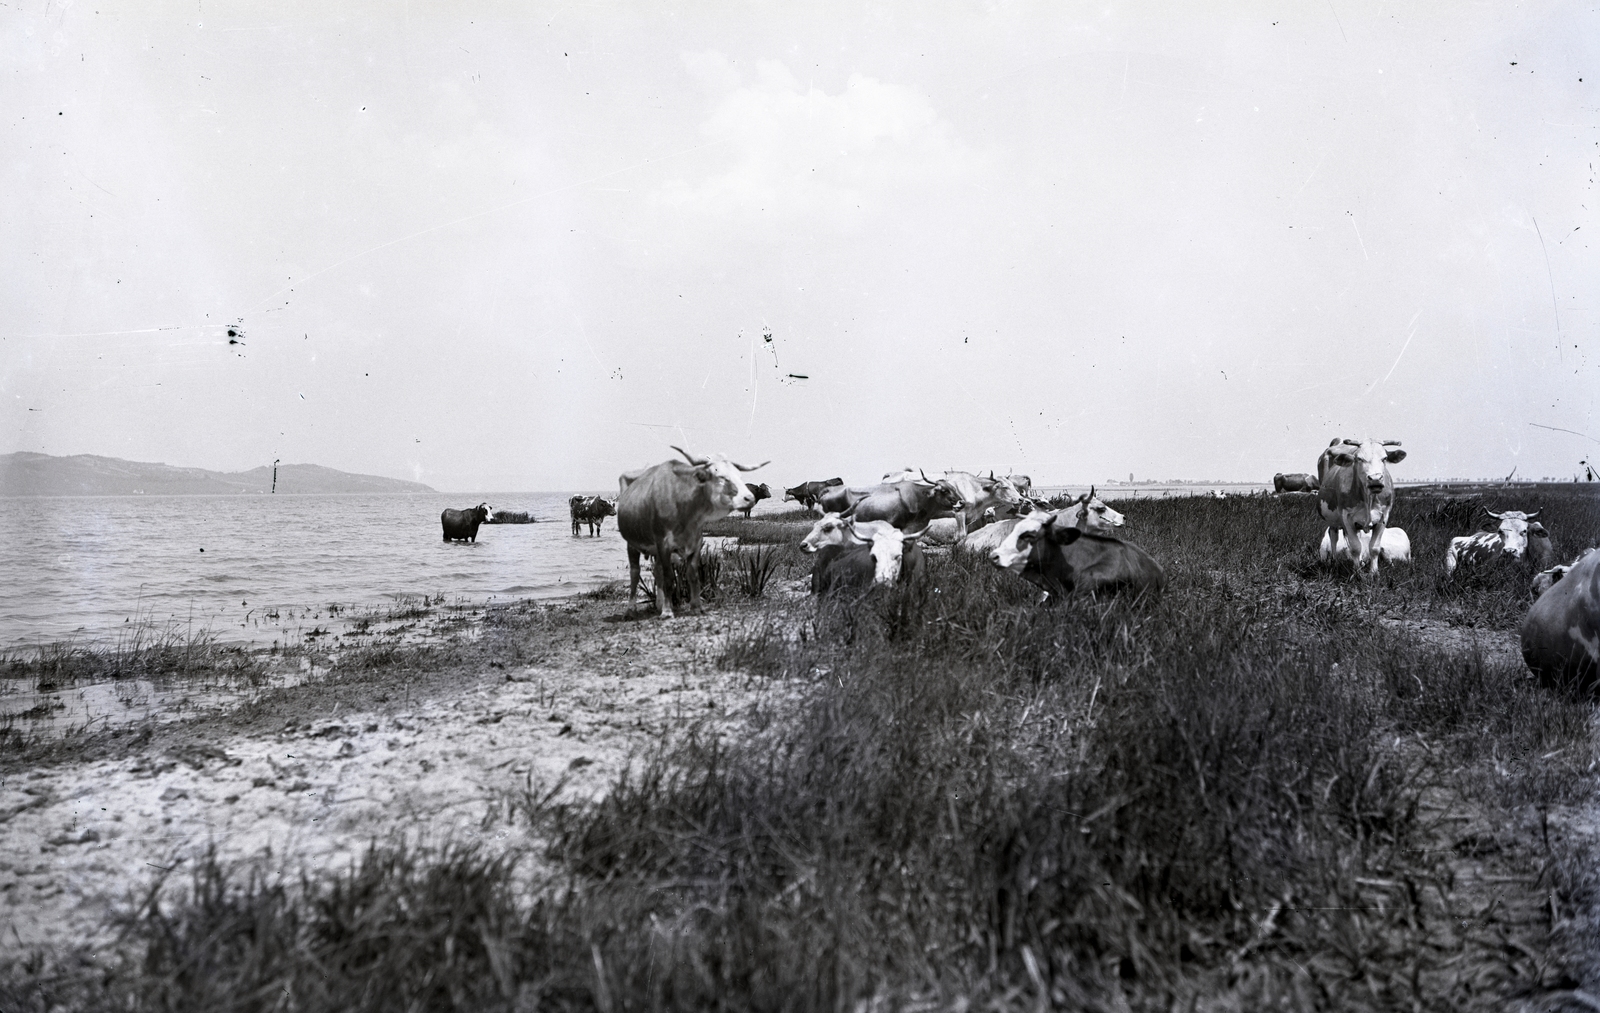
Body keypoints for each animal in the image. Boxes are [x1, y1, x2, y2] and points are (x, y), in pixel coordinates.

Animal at [614, 444, 764, 617]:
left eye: (739, 475)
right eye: (721, 476)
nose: (749, 498)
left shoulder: (696, 541)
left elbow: (693, 575)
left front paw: (696, 607)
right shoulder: (663, 543)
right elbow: (669, 577)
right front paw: (667, 611)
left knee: (657, 570)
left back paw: (658, 605)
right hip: (632, 543)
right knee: (635, 572)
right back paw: (631, 609)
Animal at [1318, 435, 1408, 572]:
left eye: (1384, 458)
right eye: (1359, 459)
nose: (1375, 479)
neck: (1368, 499)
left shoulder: (1383, 517)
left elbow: (1374, 548)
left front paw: (1373, 573)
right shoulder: (1346, 518)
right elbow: (1355, 547)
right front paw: (1357, 573)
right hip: (1332, 518)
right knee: (1333, 535)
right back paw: (1334, 562)